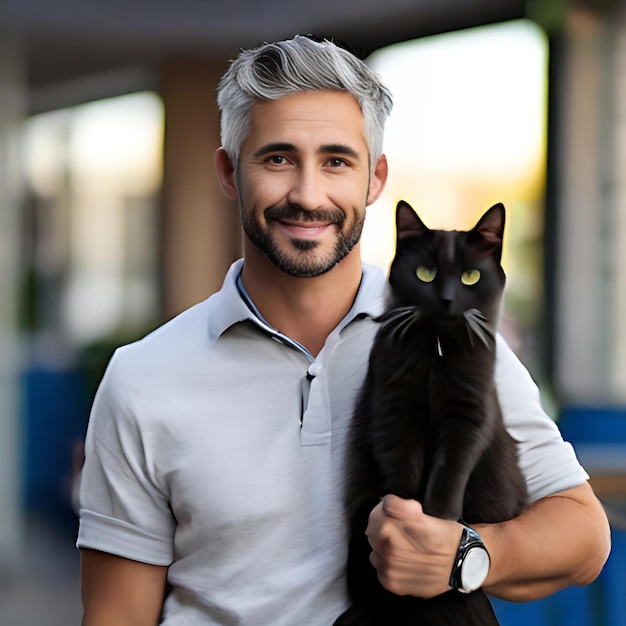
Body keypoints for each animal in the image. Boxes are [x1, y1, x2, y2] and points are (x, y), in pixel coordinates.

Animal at [334, 201, 524, 624]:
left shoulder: (470, 412)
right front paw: (401, 513)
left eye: (470, 276)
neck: (437, 351)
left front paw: (436, 519)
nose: (449, 299)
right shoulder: (394, 403)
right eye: (425, 274)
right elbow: (404, 461)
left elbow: (451, 466)